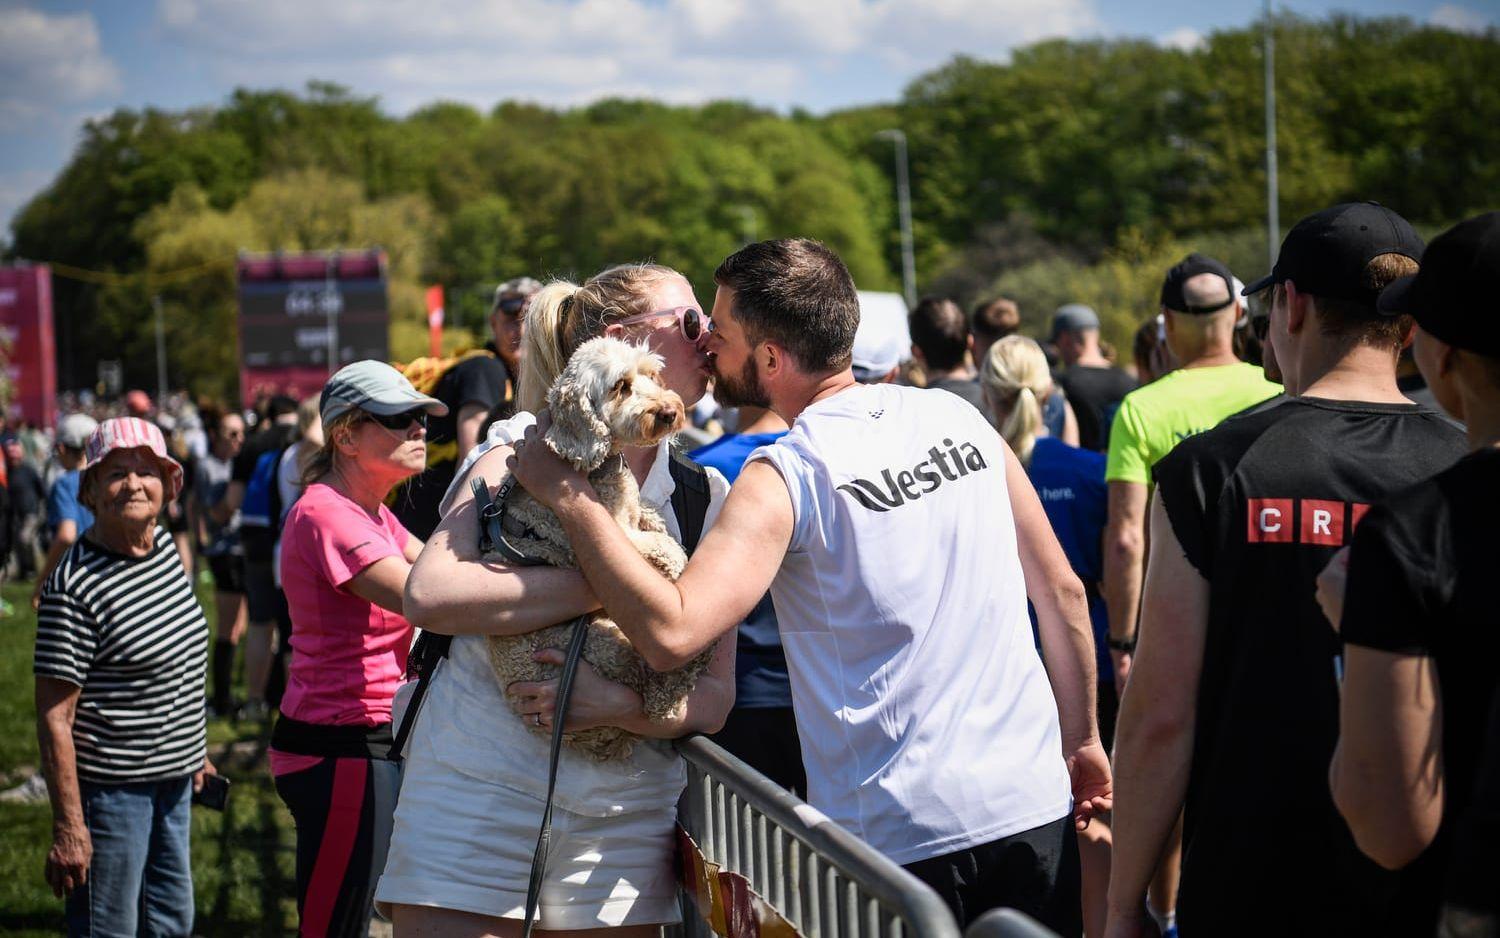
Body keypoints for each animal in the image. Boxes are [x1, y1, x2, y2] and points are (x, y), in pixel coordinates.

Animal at [480, 336, 714, 762]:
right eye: (620, 386)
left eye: (652, 374)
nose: (670, 411)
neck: (595, 465)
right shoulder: (616, 536)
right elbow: (666, 548)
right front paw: (677, 564)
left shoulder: (630, 511)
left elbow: (649, 516)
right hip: (605, 646)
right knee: (651, 686)